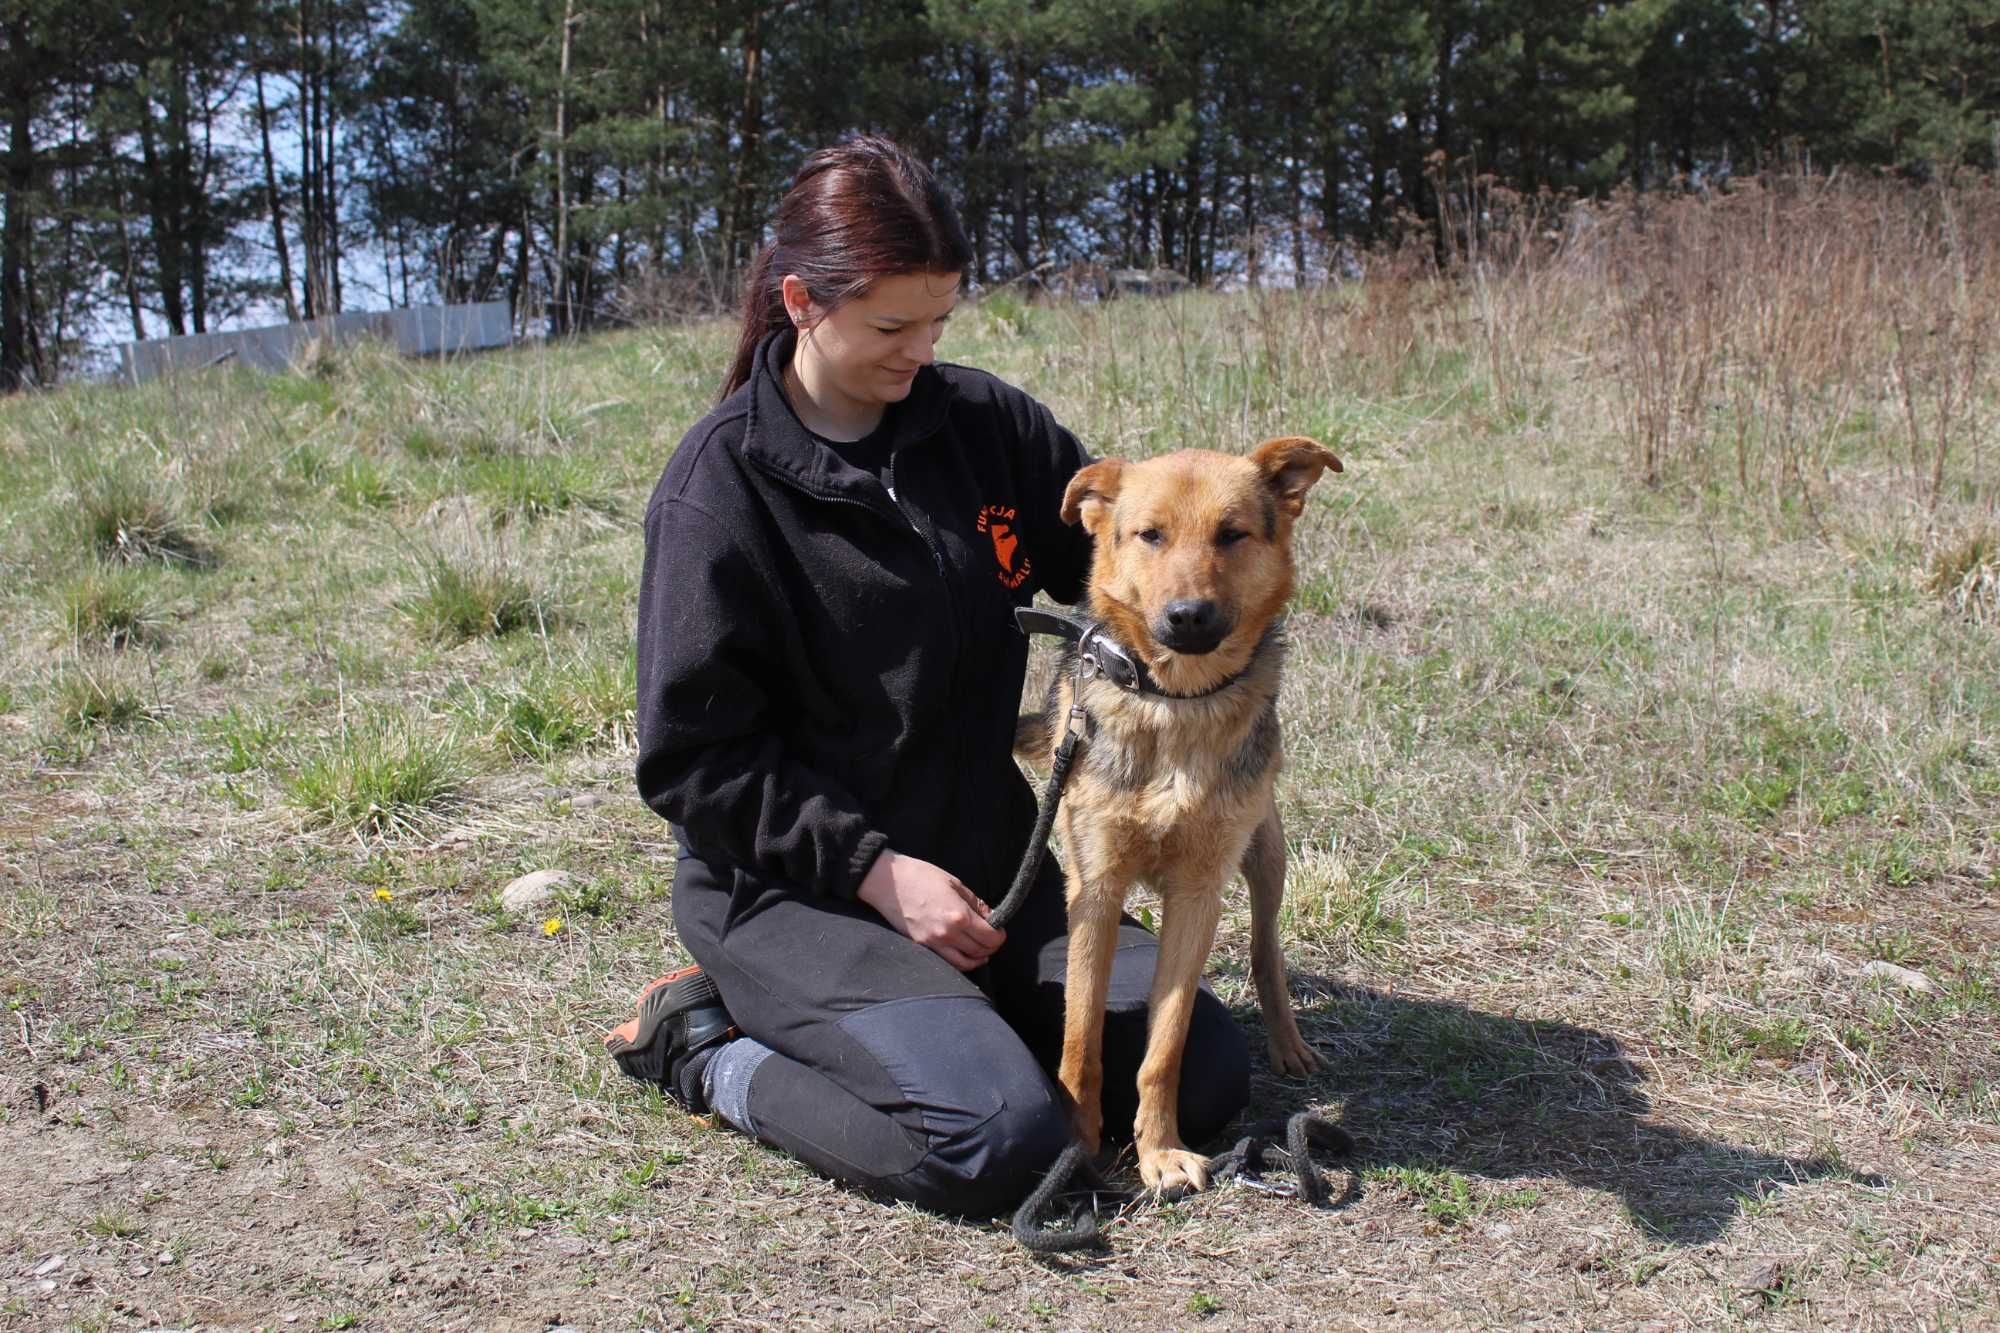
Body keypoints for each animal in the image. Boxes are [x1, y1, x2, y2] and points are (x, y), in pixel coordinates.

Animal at [1024, 436, 1336, 1192]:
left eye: (1232, 534)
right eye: (1151, 535)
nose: (1188, 616)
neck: (1175, 703)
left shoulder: (1198, 895)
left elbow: (1165, 1046)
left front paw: (1160, 1151)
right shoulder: (1096, 887)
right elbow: (1081, 1037)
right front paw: (1079, 1146)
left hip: (1266, 856)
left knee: (1265, 952)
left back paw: (1289, 1043)